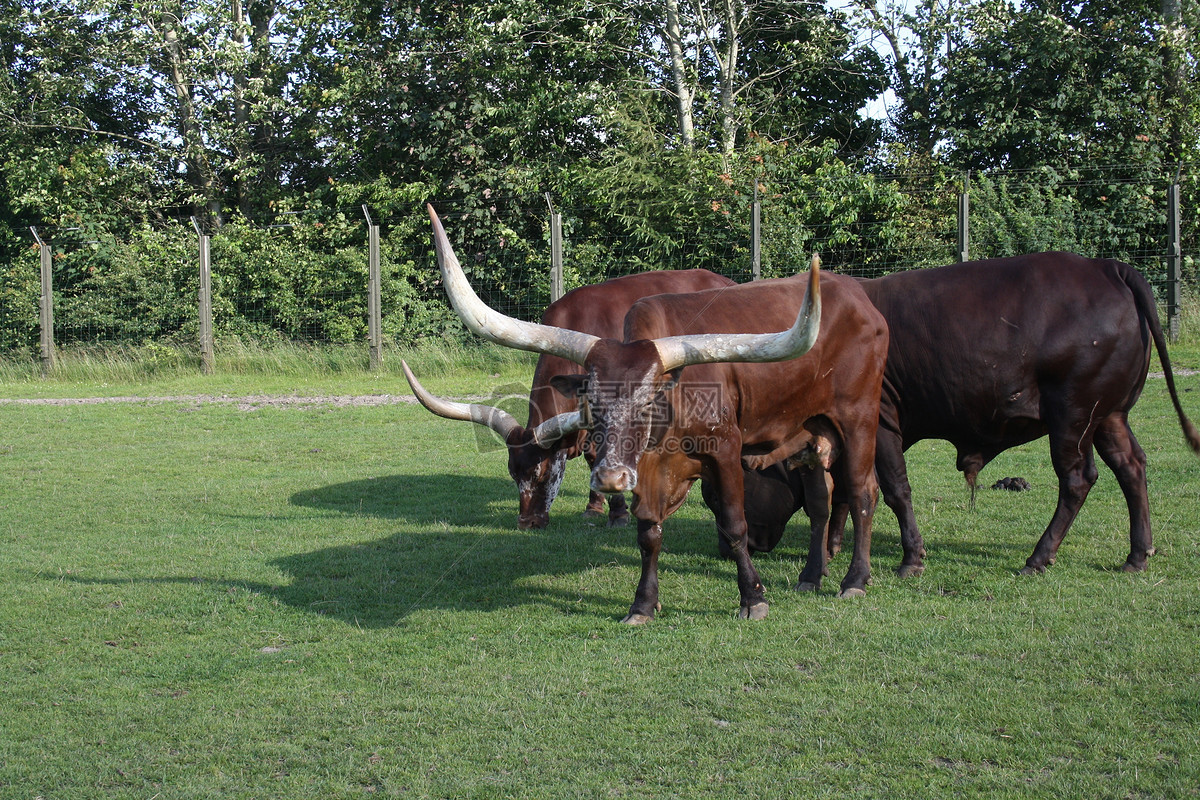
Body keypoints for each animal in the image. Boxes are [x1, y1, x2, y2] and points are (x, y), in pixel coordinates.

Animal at [398, 271, 729, 532]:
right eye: (512, 472)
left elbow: (602, 455)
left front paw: (617, 514)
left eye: (541, 472)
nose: (527, 523)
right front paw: (595, 508)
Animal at [715, 253, 1195, 573]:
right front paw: (834, 545)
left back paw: (1039, 556)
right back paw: (1138, 554)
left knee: (1077, 480)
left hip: (1073, 415)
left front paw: (911, 557)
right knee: (1131, 467)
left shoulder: (880, 422)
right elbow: (848, 491)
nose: (729, 545)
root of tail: (1107, 267)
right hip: (1108, 416)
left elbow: (892, 489)